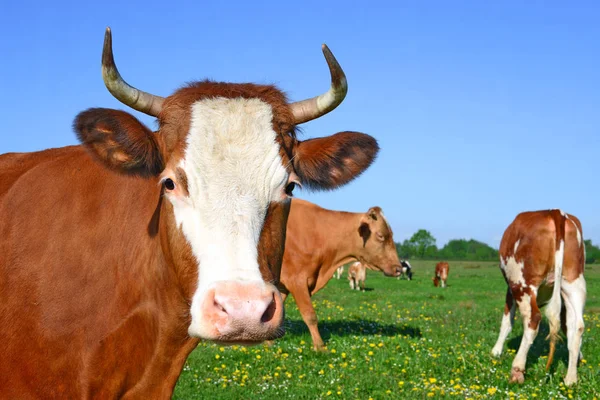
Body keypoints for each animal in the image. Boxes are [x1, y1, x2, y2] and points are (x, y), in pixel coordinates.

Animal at [278, 200, 400, 350]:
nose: (398, 268)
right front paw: (320, 347)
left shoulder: (283, 284)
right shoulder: (296, 280)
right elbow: (310, 315)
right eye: (380, 235)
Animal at [492, 211, 584, 386]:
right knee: (577, 326)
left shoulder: (510, 290)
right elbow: (566, 326)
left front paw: (496, 351)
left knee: (533, 319)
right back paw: (571, 378)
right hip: (573, 284)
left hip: (522, 285)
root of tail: (556, 212)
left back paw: (517, 370)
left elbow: (507, 321)